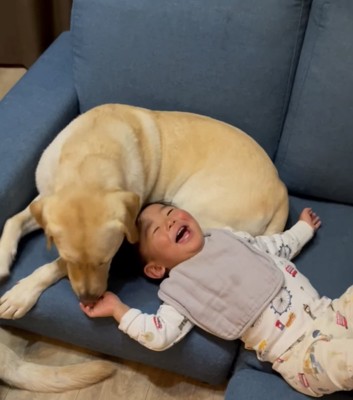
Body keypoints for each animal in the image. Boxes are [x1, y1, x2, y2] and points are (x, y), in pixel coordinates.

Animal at [0, 103, 286, 318]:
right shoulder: (44, 198)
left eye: (106, 261)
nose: (89, 299)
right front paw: (3, 257)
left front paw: (21, 293)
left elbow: (51, 266)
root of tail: (281, 189)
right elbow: (13, 220)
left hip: (197, 209)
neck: (89, 157)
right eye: (71, 259)